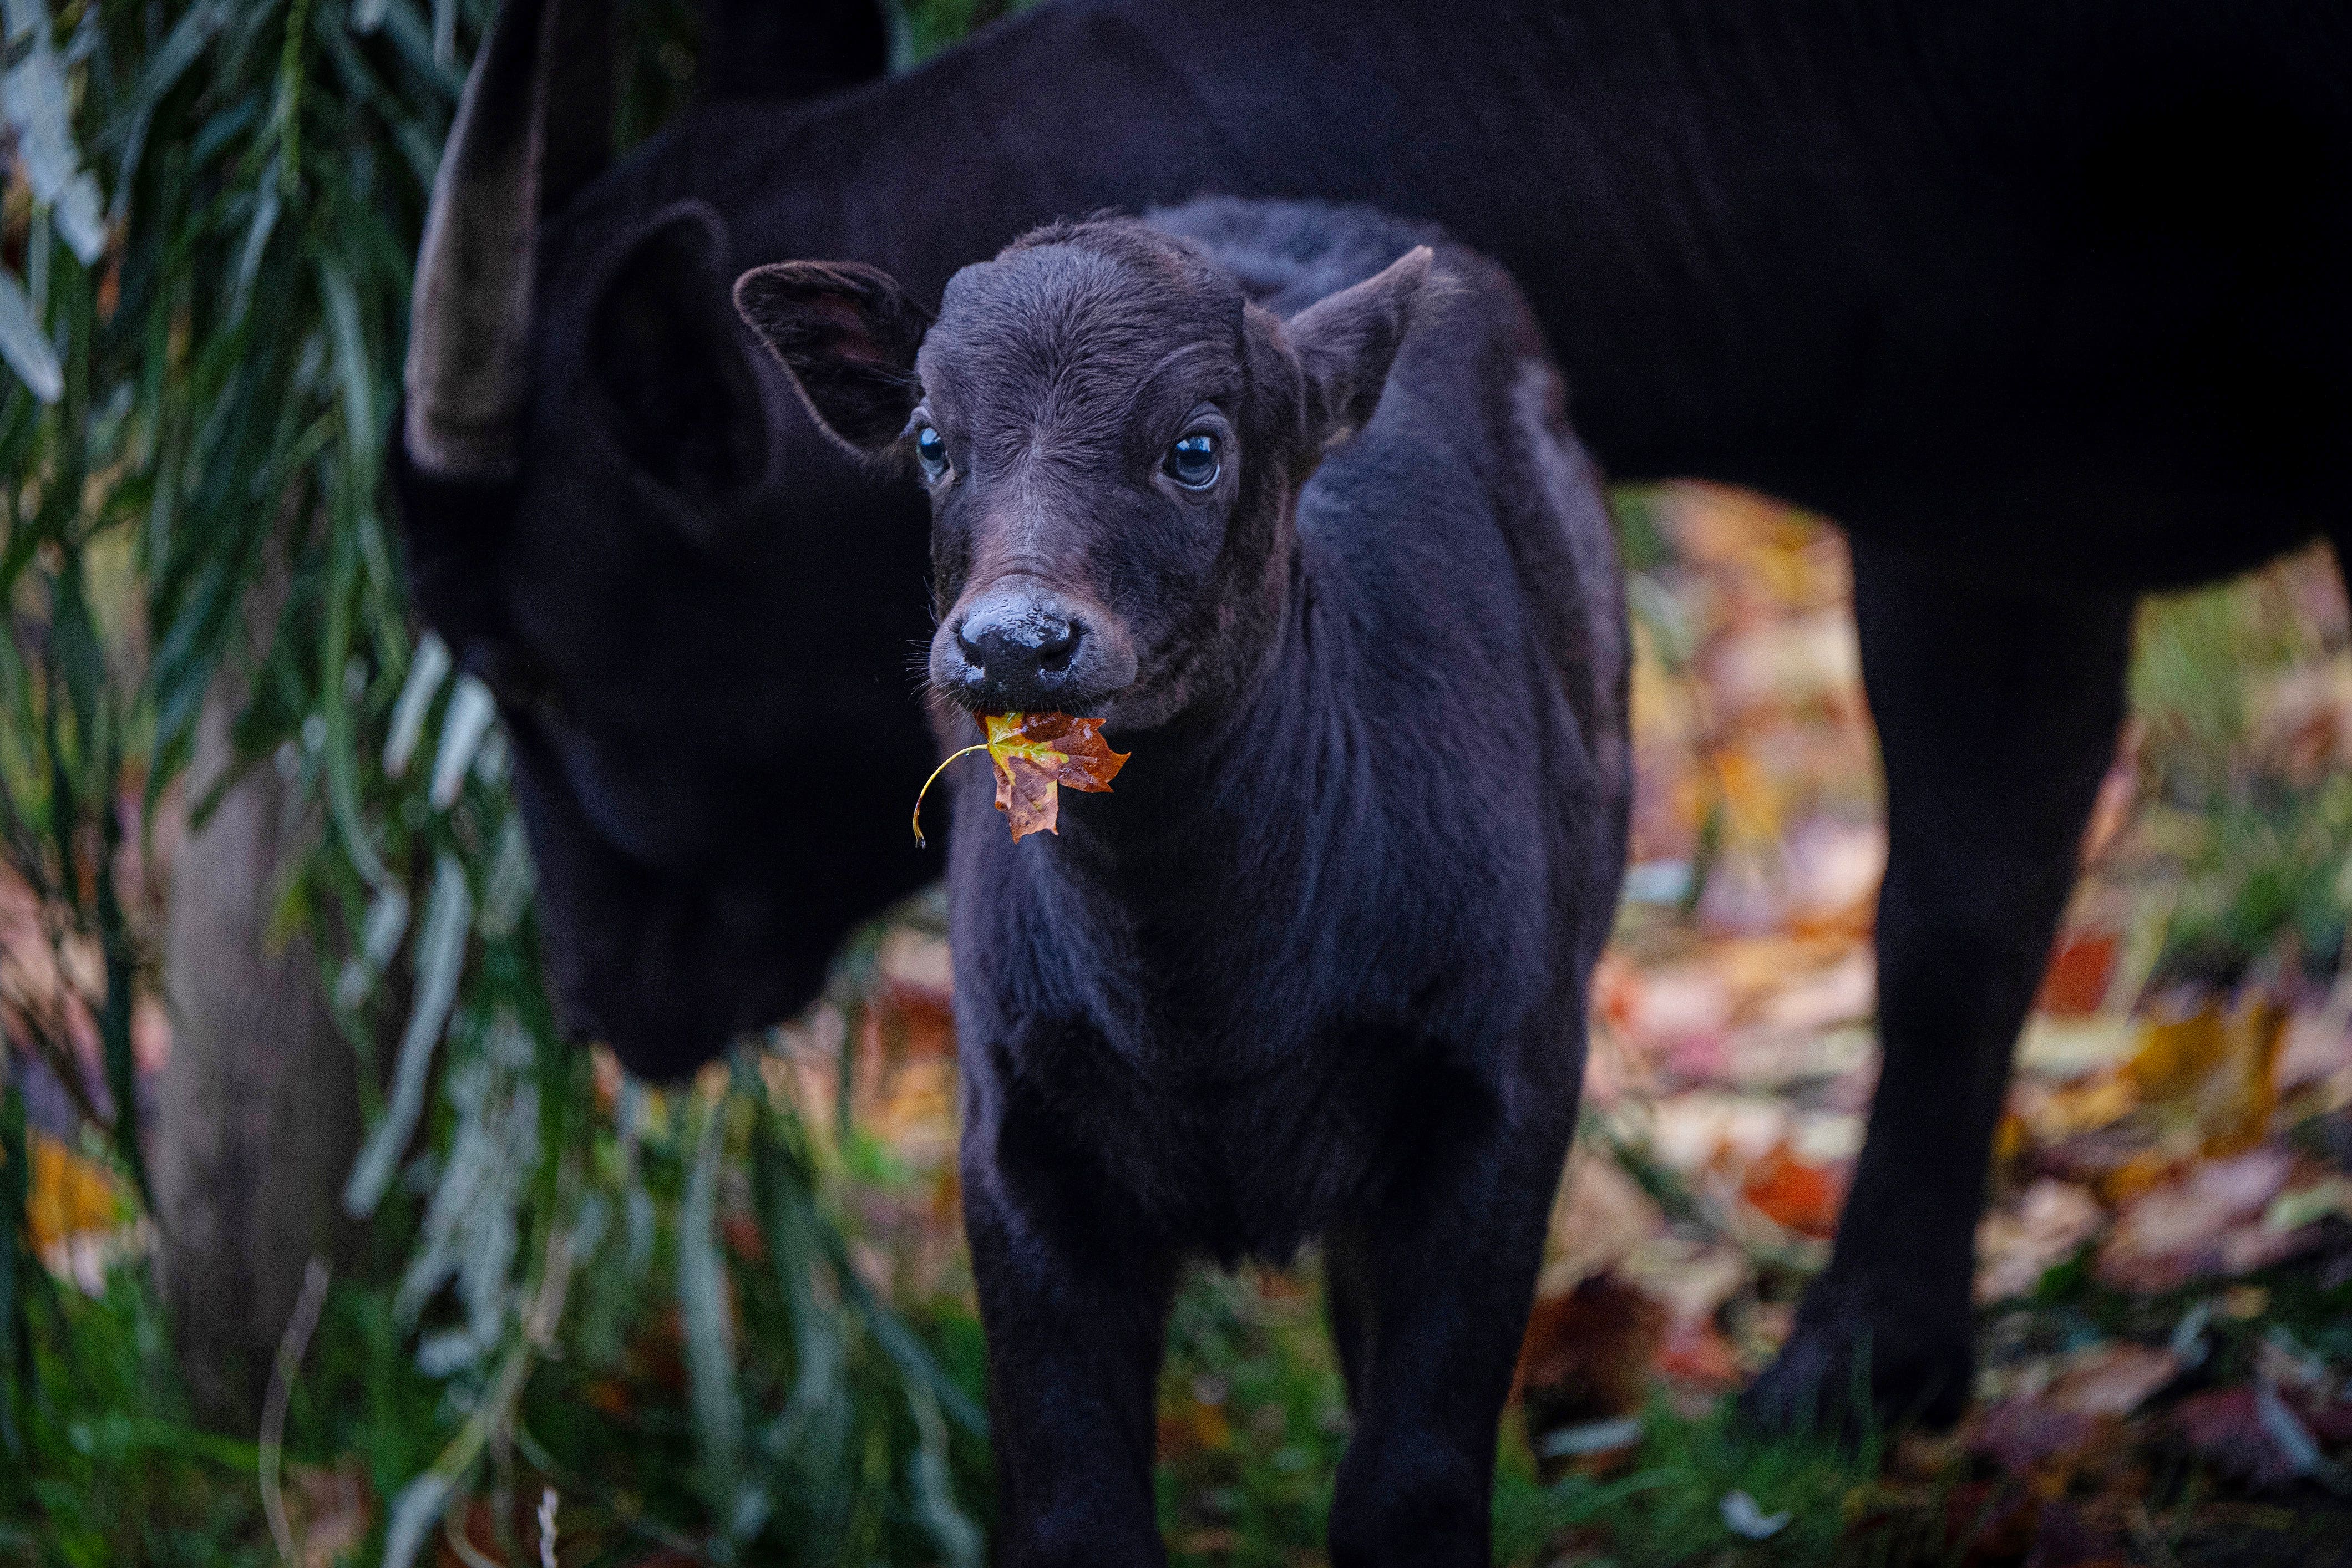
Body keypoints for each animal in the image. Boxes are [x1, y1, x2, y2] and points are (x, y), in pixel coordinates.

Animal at [391, 0, 2352, 1433]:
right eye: (929, 448)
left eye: (521, 655)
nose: (591, 991)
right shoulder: (1973, 512)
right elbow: (1958, 912)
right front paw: (1864, 1363)